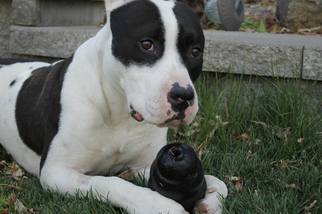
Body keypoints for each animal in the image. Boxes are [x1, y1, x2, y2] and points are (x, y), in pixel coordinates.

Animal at [0, 0, 226, 213]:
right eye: (146, 44)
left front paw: (210, 200)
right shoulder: (57, 171)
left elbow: (218, 182)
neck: (118, 111)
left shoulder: (145, 164)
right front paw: (158, 204)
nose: (183, 96)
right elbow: (109, 182)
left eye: (195, 51)